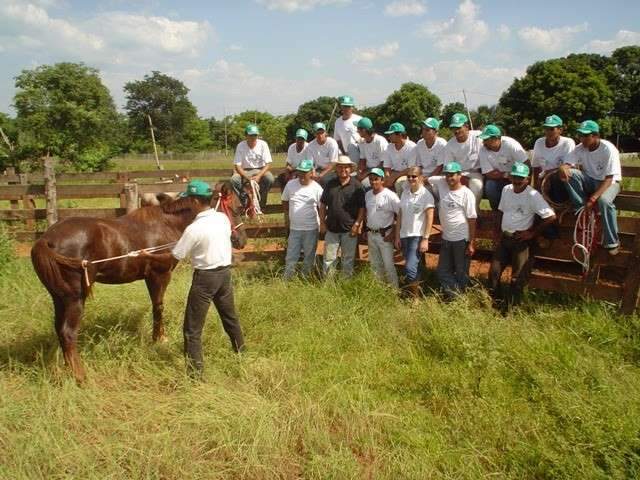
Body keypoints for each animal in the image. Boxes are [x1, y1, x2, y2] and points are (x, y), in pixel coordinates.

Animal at [30, 182, 246, 380]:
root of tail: (46, 240)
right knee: (68, 333)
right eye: (237, 208)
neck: (166, 224)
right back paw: (80, 376)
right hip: (74, 299)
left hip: (59, 298)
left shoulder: (149, 278)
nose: (241, 241)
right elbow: (158, 307)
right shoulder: (159, 275)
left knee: (60, 330)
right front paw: (160, 339)